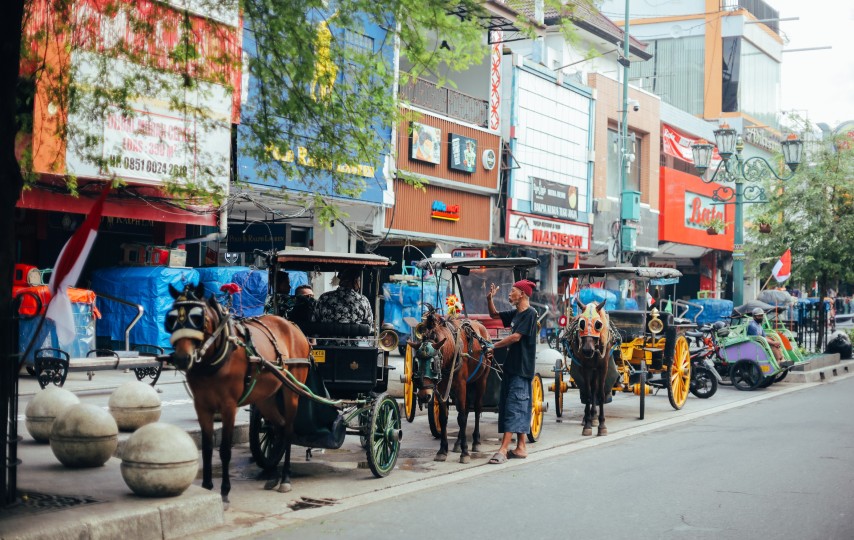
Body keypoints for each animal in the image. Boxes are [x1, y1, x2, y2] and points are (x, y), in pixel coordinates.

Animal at [166, 282, 310, 506]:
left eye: (198, 318)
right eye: (171, 319)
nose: (182, 358)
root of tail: (294, 327)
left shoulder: (228, 406)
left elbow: (225, 450)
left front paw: (224, 491)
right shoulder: (202, 406)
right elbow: (207, 447)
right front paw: (207, 487)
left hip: (291, 391)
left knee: (288, 430)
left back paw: (285, 477)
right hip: (266, 397)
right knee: (278, 427)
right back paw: (272, 474)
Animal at [416, 306, 494, 462]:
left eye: (433, 364)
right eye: (417, 362)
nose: (424, 396)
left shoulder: (461, 386)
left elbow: (462, 418)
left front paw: (465, 452)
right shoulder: (442, 388)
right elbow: (444, 418)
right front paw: (442, 450)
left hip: (481, 379)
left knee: (476, 408)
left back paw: (476, 441)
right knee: (465, 408)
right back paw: (458, 443)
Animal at [568, 300, 616, 438]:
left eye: (598, 324)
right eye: (582, 324)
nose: (587, 350)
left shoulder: (603, 366)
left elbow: (600, 394)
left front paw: (602, 425)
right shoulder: (585, 366)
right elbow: (588, 393)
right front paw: (588, 425)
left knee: (595, 389)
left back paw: (594, 416)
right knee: (588, 389)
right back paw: (588, 418)